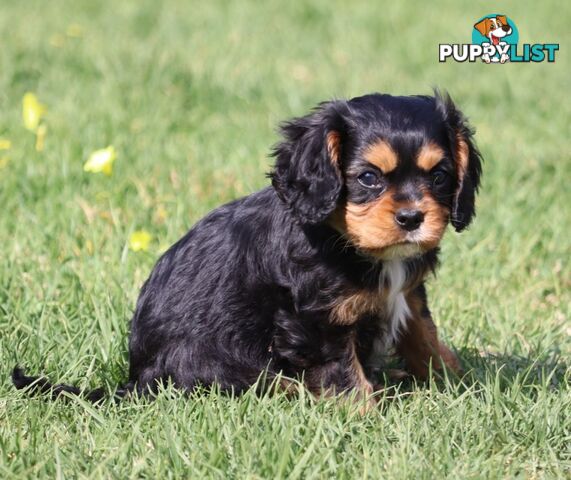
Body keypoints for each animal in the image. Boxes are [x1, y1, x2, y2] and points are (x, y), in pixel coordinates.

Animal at [12, 92, 482, 404]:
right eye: (368, 178)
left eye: (439, 176)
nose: (412, 218)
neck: (345, 239)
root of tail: (135, 378)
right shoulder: (315, 319)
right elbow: (341, 371)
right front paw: (365, 411)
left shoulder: (407, 291)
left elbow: (424, 334)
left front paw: (460, 381)